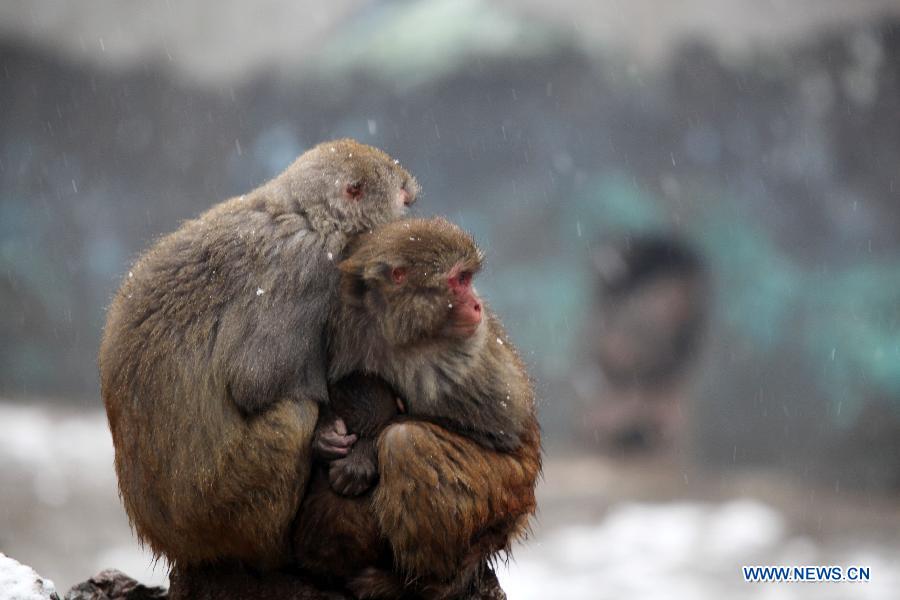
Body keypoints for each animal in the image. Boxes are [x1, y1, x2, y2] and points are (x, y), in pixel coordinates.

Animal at [98, 138, 422, 568]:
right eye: (401, 198)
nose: (408, 203)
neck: (309, 216)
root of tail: (166, 539)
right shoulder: (313, 269)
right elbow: (256, 380)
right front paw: (331, 431)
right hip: (224, 507)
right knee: (292, 417)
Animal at [292, 218, 540, 596]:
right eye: (459, 280)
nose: (477, 305)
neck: (396, 329)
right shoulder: (334, 322)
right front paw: (326, 433)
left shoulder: (463, 354)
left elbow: (500, 431)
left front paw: (363, 452)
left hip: (507, 490)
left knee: (408, 441)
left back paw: (421, 583)